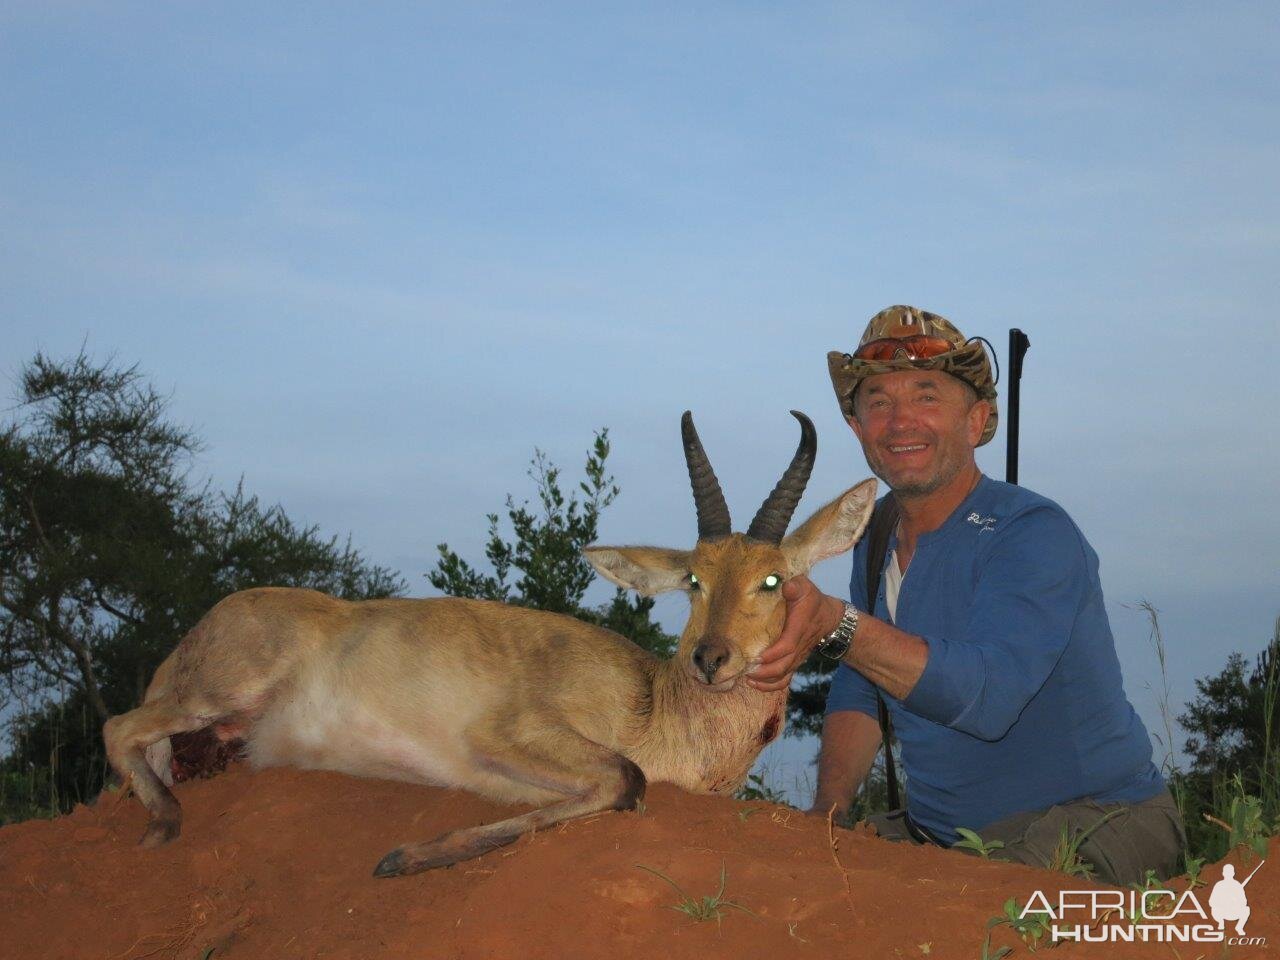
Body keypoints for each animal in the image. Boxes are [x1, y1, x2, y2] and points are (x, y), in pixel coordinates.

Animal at [104, 409, 875, 875]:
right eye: (693, 578)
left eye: (773, 579)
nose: (710, 659)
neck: (658, 704)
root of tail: (199, 629)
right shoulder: (505, 736)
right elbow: (626, 780)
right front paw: (404, 856)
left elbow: (619, 784)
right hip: (220, 690)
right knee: (118, 726)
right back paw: (161, 826)